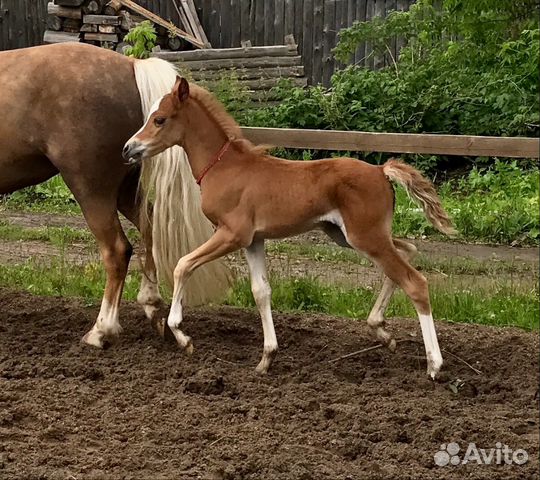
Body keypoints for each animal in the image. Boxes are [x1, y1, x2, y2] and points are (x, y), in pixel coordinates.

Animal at [0, 44, 230, 344]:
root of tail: (132, 65)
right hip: (125, 188)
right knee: (148, 229)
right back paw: (151, 303)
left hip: (92, 189)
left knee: (117, 250)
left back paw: (101, 330)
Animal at [124, 78, 458, 378]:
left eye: (159, 119)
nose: (129, 148)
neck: (224, 167)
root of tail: (381, 171)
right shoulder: (254, 240)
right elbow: (261, 291)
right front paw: (266, 358)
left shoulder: (233, 234)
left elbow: (183, 265)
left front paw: (182, 336)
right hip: (350, 235)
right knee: (407, 251)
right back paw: (382, 331)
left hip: (365, 237)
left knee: (414, 281)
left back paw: (434, 364)